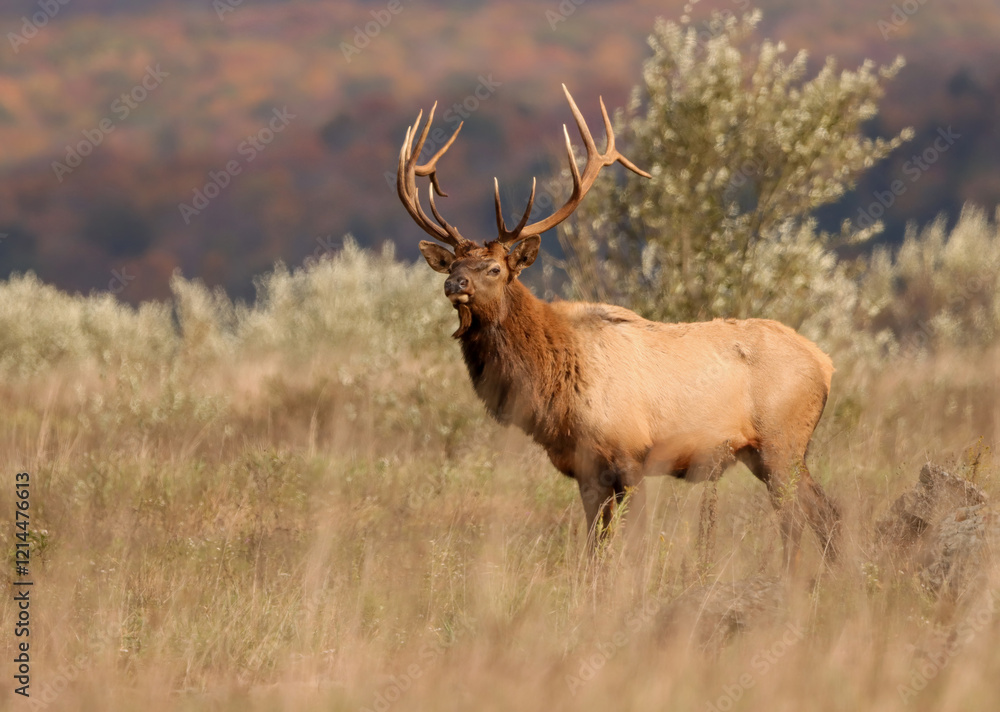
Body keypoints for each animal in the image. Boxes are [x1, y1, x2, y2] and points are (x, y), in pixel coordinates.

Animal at [396, 85, 840, 569]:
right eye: (453, 265)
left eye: (494, 268)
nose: (454, 284)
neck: (554, 387)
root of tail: (826, 364)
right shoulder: (584, 468)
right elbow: (595, 546)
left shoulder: (630, 454)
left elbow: (635, 542)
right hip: (770, 453)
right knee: (826, 511)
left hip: (782, 442)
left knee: (797, 520)